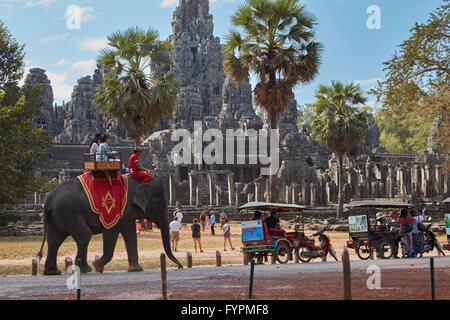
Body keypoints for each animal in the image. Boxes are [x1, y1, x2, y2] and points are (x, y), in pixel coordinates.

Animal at [36, 175, 182, 276]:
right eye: (160, 203)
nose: (180, 267)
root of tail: (48, 200)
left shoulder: (127, 212)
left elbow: (130, 234)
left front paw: (136, 270)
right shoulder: (114, 213)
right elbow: (111, 232)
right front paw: (97, 266)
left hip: (58, 217)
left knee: (54, 241)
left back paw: (53, 272)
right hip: (68, 212)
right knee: (84, 234)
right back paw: (86, 269)